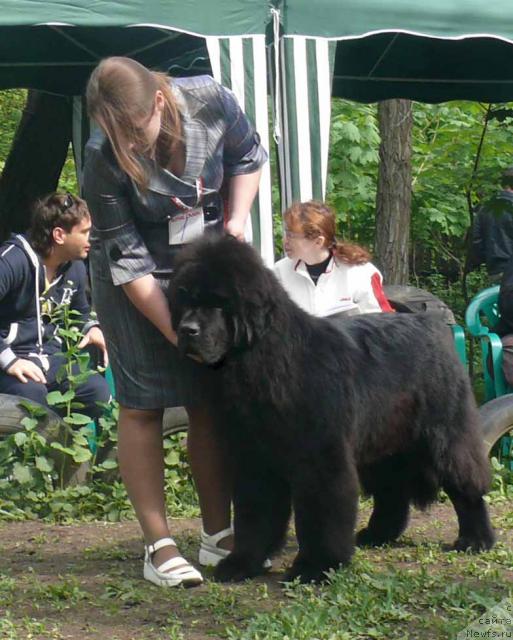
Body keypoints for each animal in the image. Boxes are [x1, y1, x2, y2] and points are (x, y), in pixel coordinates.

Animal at [167, 236, 492, 584]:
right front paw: (243, 562)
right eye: (183, 299)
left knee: (465, 483)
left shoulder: (320, 455)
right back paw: (378, 534)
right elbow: (255, 512)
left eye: (218, 303)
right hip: (381, 442)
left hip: (443, 434)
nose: (187, 330)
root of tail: (428, 323)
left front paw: (315, 565)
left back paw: (476, 539)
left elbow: (320, 511)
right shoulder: (254, 456)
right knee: (391, 490)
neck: (268, 362)